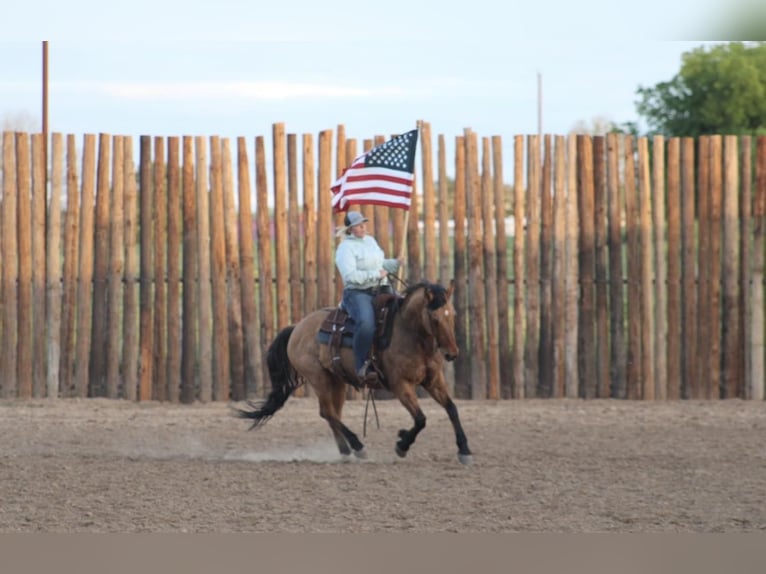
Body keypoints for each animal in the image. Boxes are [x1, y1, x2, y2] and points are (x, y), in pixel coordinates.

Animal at [234, 282, 474, 466]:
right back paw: (358, 447)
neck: (408, 334)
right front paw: (402, 444)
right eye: (434, 318)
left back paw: (345, 451)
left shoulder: (433, 380)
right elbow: (421, 419)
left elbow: (452, 409)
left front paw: (464, 450)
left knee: (333, 414)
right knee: (327, 412)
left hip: (337, 381)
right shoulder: (400, 385)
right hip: (318, 378)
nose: (452, 353)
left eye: (452, 315)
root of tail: (296, 328)